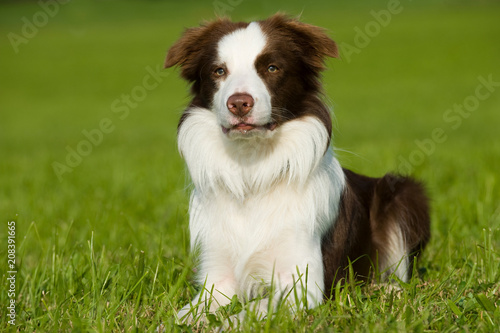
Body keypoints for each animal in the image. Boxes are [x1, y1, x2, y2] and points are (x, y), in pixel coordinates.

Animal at [165, 13, 430, 320]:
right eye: (219, 71)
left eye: (272, 67)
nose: (239, 103)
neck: (251, 172)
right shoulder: (217, 279)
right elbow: (184, 314)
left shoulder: (303, 285)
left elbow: (250, 311)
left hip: (403, 194)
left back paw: (387, 290)